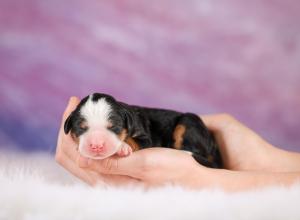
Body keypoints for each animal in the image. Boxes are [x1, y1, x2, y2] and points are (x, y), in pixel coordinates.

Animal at [63, 92, 223, 168]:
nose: (96, 145)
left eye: (113, 127)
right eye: (81, 128)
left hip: (188, 122)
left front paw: (123, 147)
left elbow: (134, 140)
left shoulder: (145, 136)